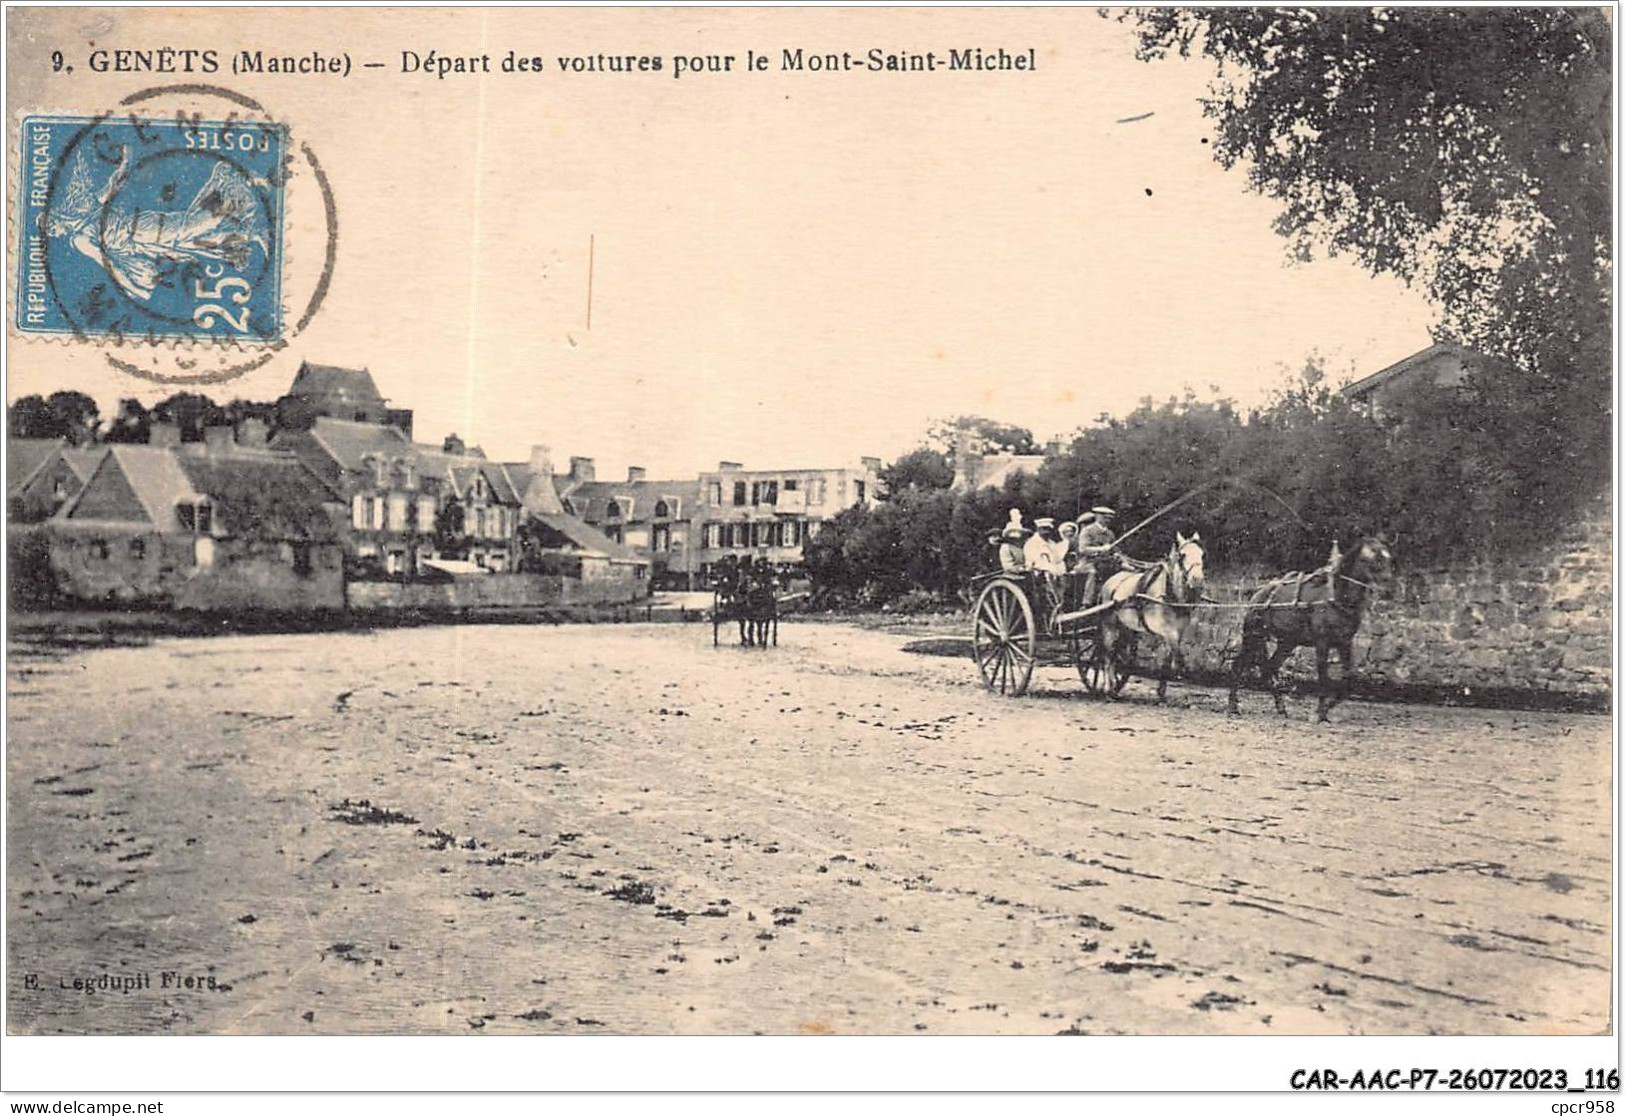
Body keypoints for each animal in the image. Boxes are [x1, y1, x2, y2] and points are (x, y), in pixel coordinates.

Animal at [1098, 536, 1202, 708]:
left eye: (1202, 554)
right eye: (1183, 555)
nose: (1198, 580)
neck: (1170, 594)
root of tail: (1110, 581)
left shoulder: (1177, 633)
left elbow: (1166, 662)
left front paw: (1161, 695)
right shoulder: (1169, 633)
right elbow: (1178, 659)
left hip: (1125, 627)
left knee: (1115, 653)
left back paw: (1114, 690)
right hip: (1109, 625)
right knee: (1108, 655)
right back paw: (1108, 690)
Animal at [1228, 539, 1397, 724]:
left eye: (1388, 558)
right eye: (1375, 559)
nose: (1389, 590)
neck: (1336, 598)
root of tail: (1257, 594)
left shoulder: (1344, 642)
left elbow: (1349, 678)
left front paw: (1326, 709)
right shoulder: (1322, 642)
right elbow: (1323, 678)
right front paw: (1319, 713)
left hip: (1287, 642)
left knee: (1269, 668)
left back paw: (1281, 709)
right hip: (1253, 637)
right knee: (1238, 666)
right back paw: (1233, 707)